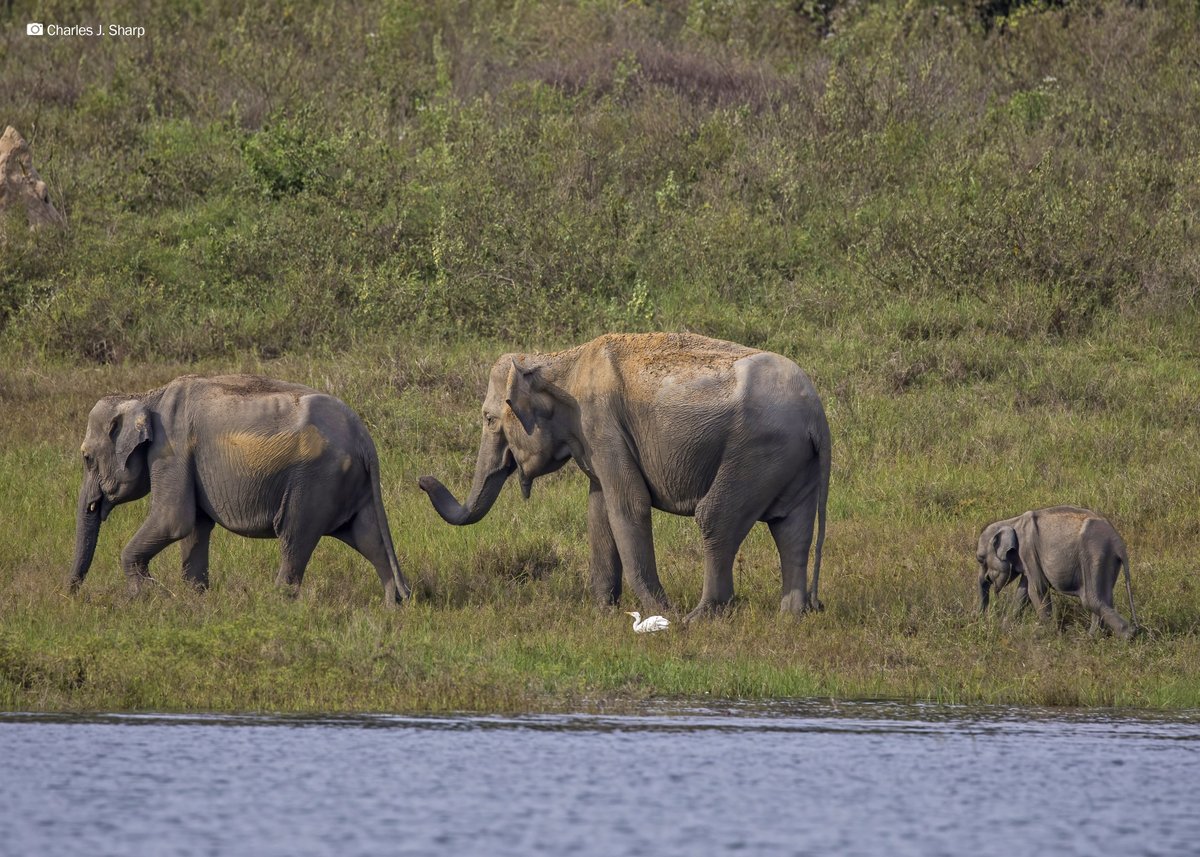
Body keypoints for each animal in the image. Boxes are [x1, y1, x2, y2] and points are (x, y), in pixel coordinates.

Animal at [69, 374, 410, 604]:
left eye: (86, 458)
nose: (72, 594)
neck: (147, 395)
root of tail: (363, 437)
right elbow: (195, 528)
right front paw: (195, 599)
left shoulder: (171, 452)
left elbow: (173, 520)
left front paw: (149, 596)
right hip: (349, 483)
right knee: (369, 538)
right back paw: (392, 606)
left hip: (316, 481)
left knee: (295, 536)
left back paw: (276, 603)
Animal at [419, 332, 831, 620]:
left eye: (489, 419)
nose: (422, 480)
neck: (559, 360)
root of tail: (817, 414)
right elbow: (598, 510)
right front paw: (603, 612)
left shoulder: (601, 424)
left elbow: (628, 506)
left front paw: (661, 614)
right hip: (791, 461)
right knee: (792, 529)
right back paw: (790, 616)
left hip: (757, 451)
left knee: (716, 518)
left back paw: (698, 618)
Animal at [976, 505, 1137, 639]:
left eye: (981, 559)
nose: (979, 621)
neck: (1012, 521)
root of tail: (1118, 543)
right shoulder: (1029, 559)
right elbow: (1023, 592)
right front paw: (1005, 628)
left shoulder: (1028, 550)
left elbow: (1036, 589)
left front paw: (1049, 634)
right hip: (1107, 559)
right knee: (1104, 597)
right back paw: (1094, 638)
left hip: (1094, 554)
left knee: (1091, 599)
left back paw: (1127, 636)